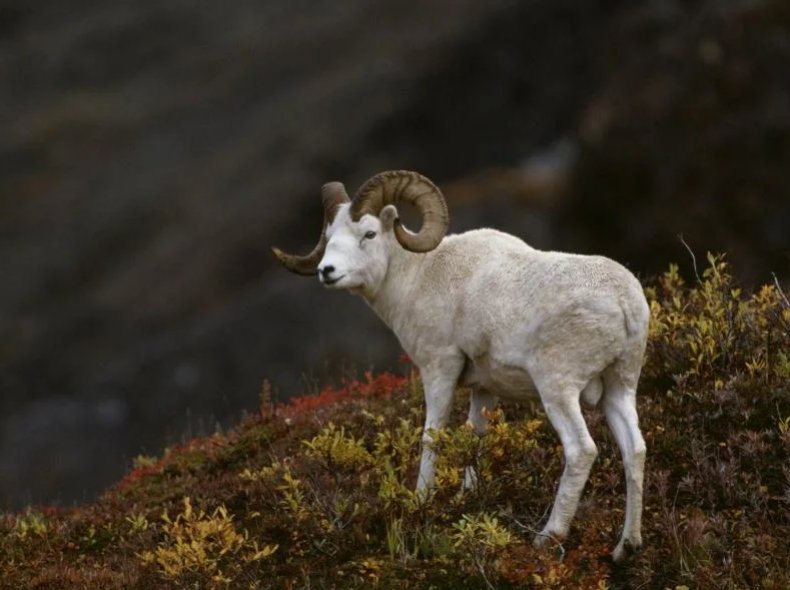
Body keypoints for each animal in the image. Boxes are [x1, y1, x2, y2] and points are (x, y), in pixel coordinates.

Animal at [272, 169, 648, 560]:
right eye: (330, 237)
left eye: (369, 233)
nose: (326, 271)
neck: (418, 277)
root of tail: (624, 304)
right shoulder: (484, 389)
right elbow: (475, 439)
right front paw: (468, 498)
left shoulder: (440, 369)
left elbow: (431, 437)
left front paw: (421, 502)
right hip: (619, 388)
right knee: (634, 450)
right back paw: (626, 547)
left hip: (557, 389)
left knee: (581, 450)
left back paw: (548, 537)